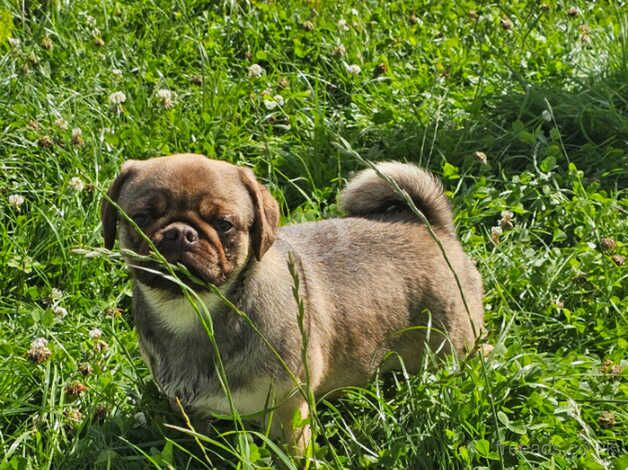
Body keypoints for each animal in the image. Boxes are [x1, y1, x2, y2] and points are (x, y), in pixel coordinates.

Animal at [102, 154, 486, 456]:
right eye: (141, 217)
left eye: (224, 225)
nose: (181, 233)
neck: (195, 312)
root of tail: (431, 226)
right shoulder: (190, 412)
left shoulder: (288, 412)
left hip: (451, 348)